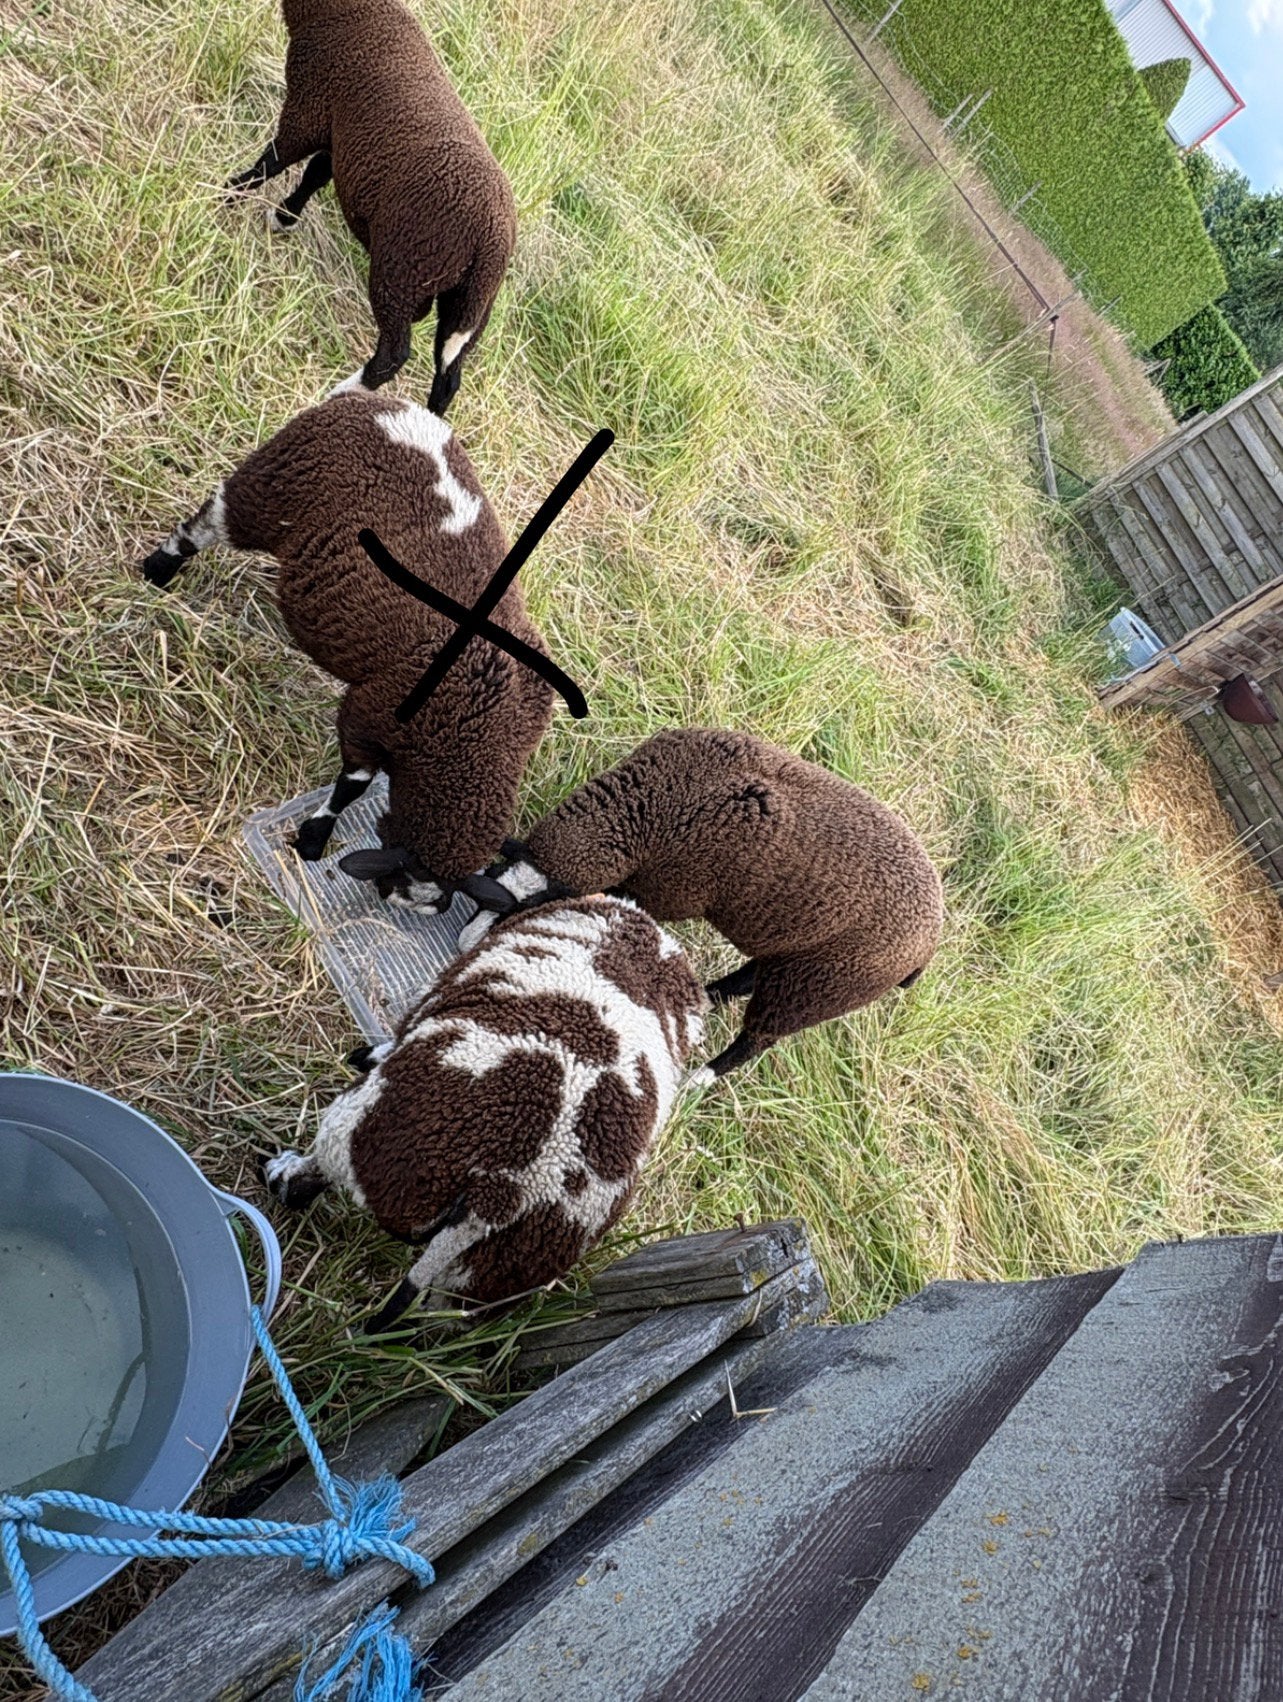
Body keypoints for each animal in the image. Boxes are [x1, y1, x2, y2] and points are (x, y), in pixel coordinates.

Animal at [139, 390, 553, 882]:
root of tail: (396, 408)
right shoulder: (369, 716)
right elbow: (352, 785)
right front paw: (313, 838)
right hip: (268, 490)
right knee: (204, 525)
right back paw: (157, 570)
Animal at [226, 0, 517, 414]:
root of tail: (491, 242)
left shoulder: (308, 109)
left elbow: (274, 161)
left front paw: (227, 193)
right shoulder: (340, 137)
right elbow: (316, 174)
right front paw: (284, 217)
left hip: (403, 269)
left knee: (394, 353)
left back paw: (345, 391)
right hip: (470, 307)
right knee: (449, 377)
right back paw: (429, 419)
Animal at [261, 894, 709, 1331]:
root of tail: (500, 1197)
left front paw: (369, 1053)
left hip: (363, 1131)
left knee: (315, 1174)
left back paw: (280, 1175)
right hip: (480, 1280)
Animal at [341, 728, 943, 1082]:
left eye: (537, 903)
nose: (469, 943)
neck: (661, 804)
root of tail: (929, 944)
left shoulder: (667, 891)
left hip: (821, 986)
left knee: (759, 1037)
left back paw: (705, 1077)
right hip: (798, 957)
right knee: (750, 976)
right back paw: (711, 996)